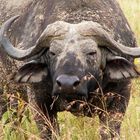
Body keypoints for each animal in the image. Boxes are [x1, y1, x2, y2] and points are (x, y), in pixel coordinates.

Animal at [0, 0, 139, 139]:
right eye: (52, 52)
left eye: (92, 52)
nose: (67, 84)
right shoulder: (39, 101)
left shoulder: (120, 97)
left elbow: (108, 132)